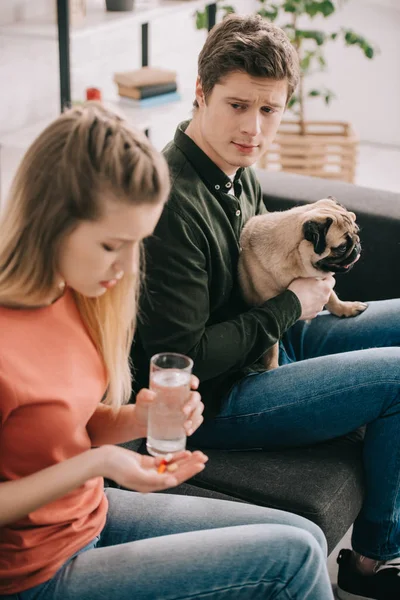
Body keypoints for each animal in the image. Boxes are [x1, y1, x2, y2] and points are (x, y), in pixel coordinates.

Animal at [239, 197, 368, 370]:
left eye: (356, 232)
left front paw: (345, 308)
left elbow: (332, 298)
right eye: (341, 248)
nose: (357, 246)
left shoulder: (320, 280)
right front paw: (272, 367)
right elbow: (272, 347)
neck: (295, 259)